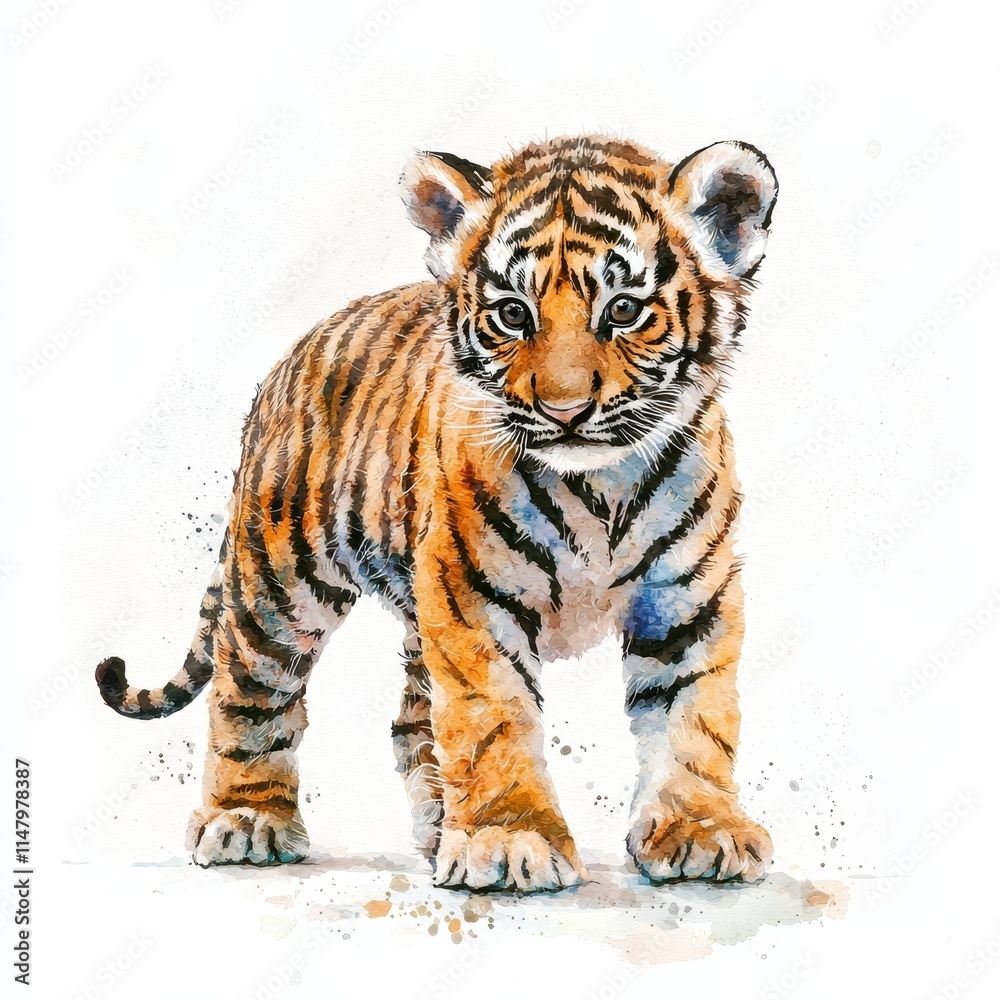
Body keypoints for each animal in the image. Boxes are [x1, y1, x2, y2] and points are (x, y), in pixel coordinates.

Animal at [95, 134, 779, 892]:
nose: (565, 411)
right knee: (248, 687)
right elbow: (493, 718)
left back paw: (434, 831)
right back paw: (246, 820)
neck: (600, 485)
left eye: (624, 310)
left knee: (409, 722)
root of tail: (291, 358)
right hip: (282, 581)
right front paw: (509, 840)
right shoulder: (473, 598)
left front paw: (701, 832)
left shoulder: (688, 598)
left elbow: (693, 717)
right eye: (513, 314)